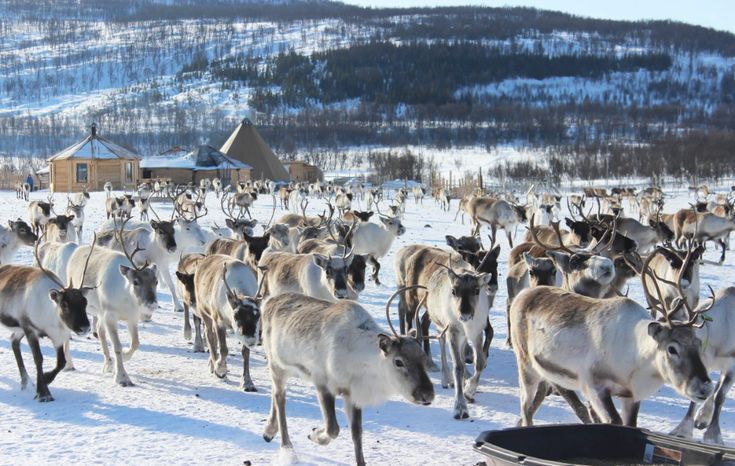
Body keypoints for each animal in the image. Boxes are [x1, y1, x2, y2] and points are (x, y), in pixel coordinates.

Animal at [261, 290, 434, 466]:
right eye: (398, 361)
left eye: (423, 357)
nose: (427, 394)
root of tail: (268, 301)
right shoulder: (322, 383)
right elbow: (333, 428)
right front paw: (314, 433)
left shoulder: (353, 394)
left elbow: (356, 433)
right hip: (277, 365)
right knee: (280, 398)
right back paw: (286, 446)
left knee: (275, 394)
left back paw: (269, 431)